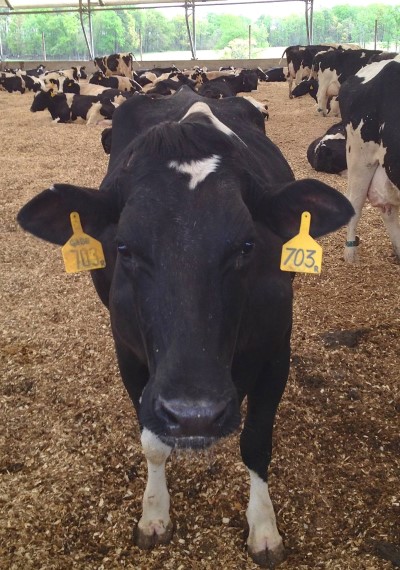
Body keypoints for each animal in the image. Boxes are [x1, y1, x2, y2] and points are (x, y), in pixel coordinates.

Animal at [17, 85, 354, 568]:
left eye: (247, 244)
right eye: (124, 247)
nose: (195, 413)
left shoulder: (276, 348)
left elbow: (256, 441)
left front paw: (264, 528)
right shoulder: (129, 352)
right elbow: (153, 441)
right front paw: (154, 514)